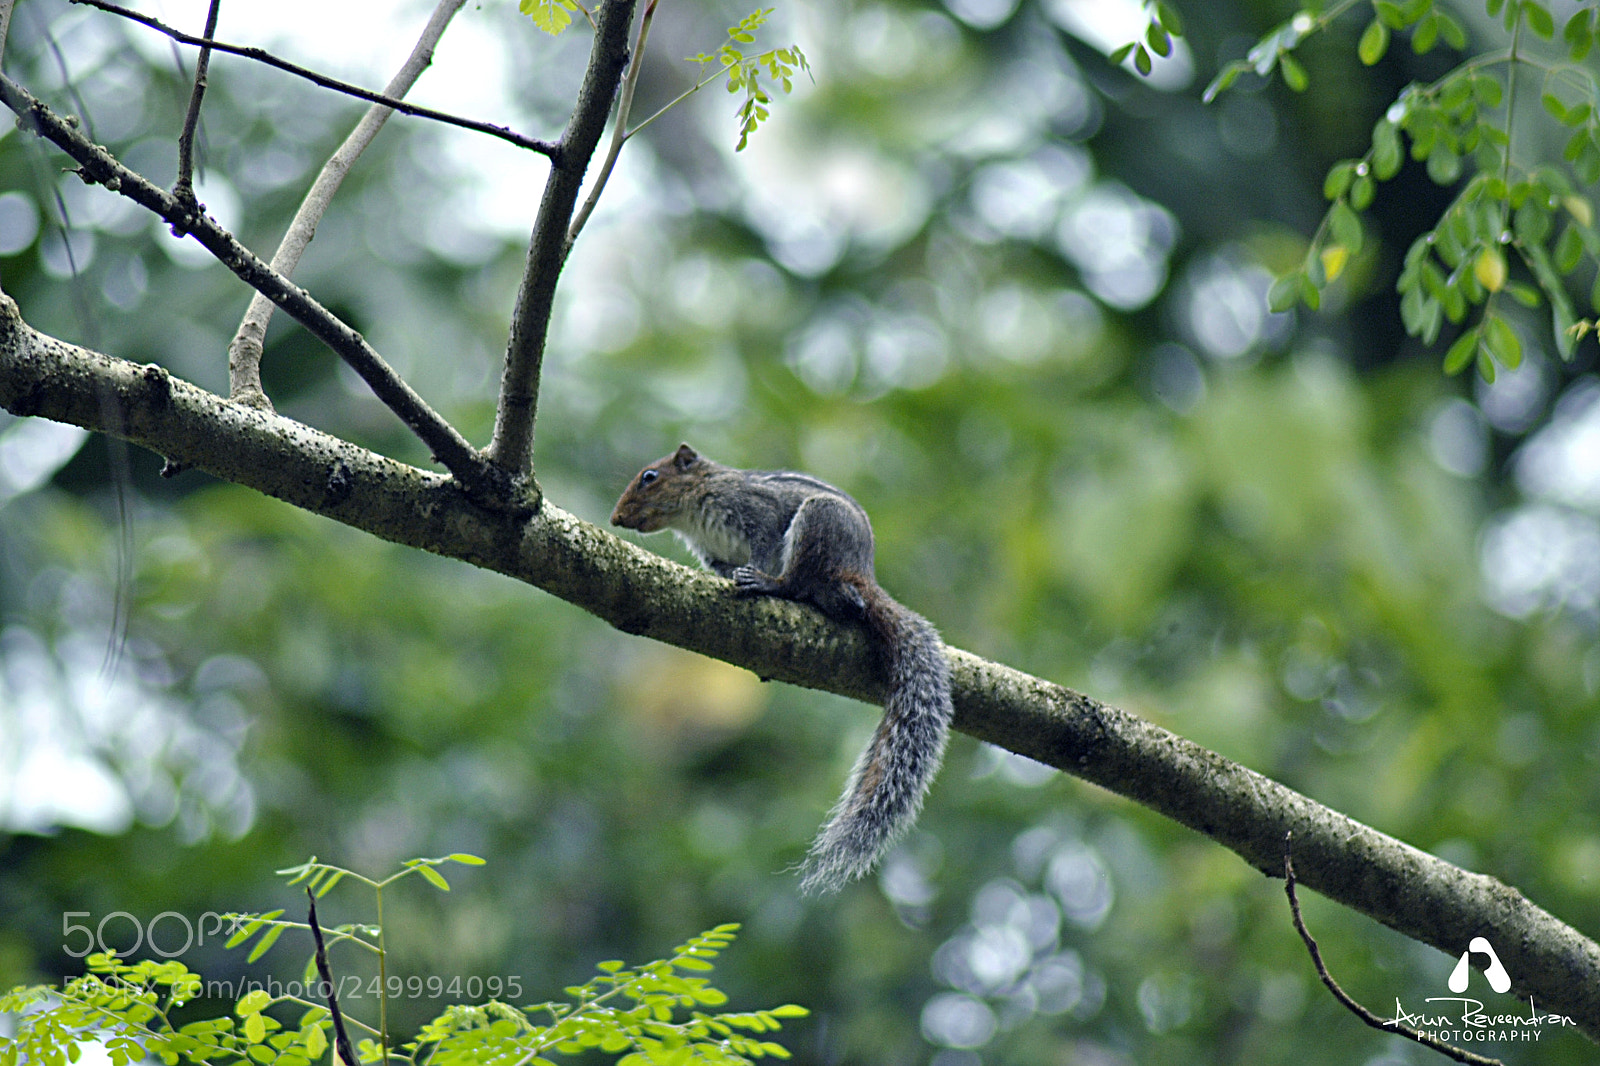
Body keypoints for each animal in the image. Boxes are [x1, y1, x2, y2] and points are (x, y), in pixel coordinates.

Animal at [611, 443, 954, 894]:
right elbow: (724, 567)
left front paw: (754, 575)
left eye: (649, 477)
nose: (616, 518)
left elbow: (762, 544)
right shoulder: (714, 555)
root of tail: (861, 573)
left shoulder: (756, 512)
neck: (692, 513)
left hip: (816, 524)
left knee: (797, 583)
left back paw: (771, 584)